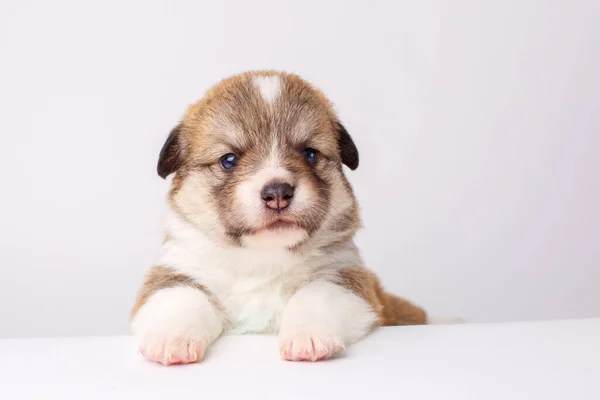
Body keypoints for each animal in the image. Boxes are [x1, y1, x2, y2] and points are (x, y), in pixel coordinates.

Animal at [135, 71, 446, 366]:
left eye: (309, 153)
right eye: (228, 160)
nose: (277, 193)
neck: (262, 259)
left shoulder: (347, 278)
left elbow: (316, 294)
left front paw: (309, 337)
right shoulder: (177, 271)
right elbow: (182, 297)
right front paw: (170, 339)